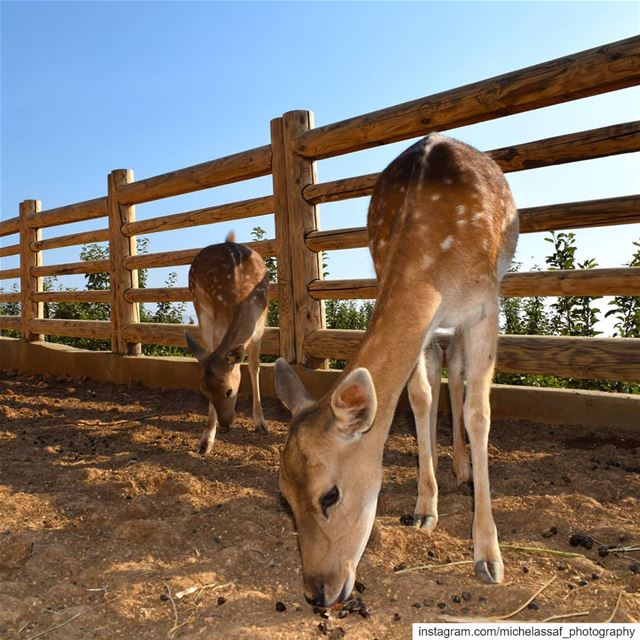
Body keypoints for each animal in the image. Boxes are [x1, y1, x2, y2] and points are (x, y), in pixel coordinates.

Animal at [184, 232, 268, 452]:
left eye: (229, 391)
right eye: (204, 392)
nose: (225, 425)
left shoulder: (260, 326)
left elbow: (254, 366)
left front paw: (261, 424)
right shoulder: (217, 324)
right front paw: (206, 441)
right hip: (199, 305)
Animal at [276, 134, 520, 604]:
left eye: (330, 496)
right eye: (284, 496)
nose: (317, 592)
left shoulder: (486, 307)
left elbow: (479, 413)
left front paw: (488, 555)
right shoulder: (423, 327)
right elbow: (419, 397)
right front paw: (425, 510)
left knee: (458, 372)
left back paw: (463, 469)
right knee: (445, 367)